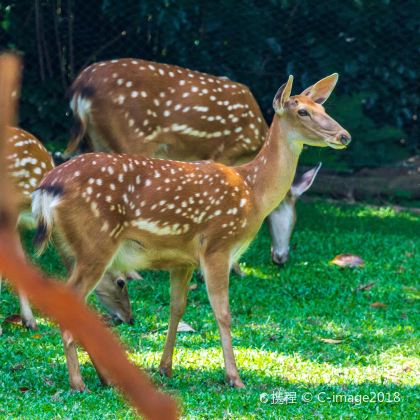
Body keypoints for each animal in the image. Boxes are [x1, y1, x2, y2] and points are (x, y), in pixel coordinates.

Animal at [32, 73, 350, 390]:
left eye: (323, 108)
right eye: (303, 111)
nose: (344, 136)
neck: (253, 192)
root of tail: (46, 189)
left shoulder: (182, 260)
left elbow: (177, 308)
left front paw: (165, 368)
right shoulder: (218, 245)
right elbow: (223, 313)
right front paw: (235, 378)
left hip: (72, 248)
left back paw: (104, 378)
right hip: (95, 243)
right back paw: (78, 383)